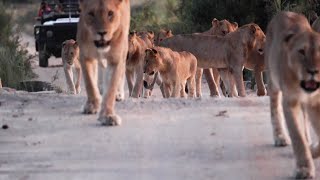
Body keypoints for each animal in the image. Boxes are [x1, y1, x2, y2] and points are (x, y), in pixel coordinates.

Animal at [264, 11, 320, 179]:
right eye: (301, 52)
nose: (313, 71)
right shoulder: (290, 100)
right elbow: (297, 136)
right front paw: (304, 169)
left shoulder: (315, 102)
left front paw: (312, 151)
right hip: (272, 82)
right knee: (274, 109)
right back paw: (280, 138)